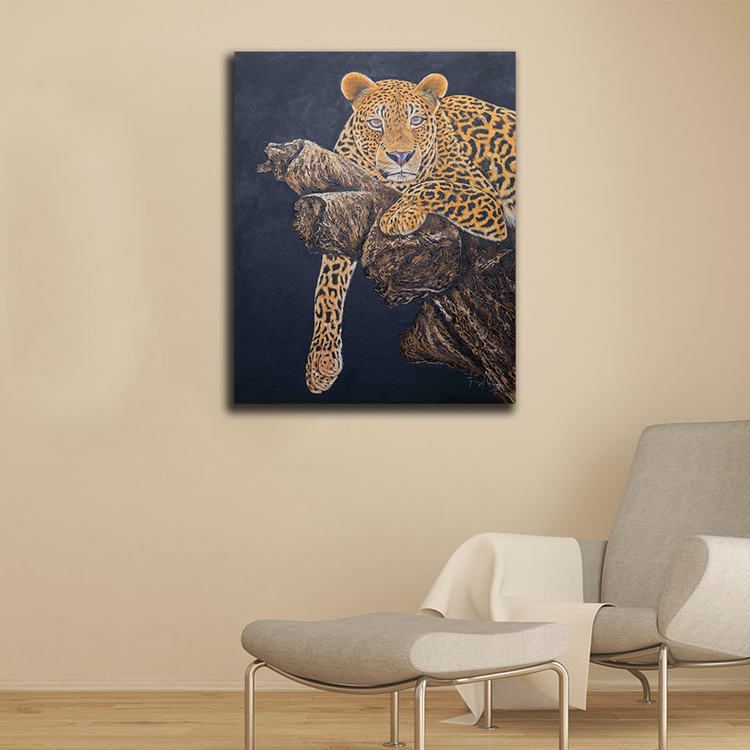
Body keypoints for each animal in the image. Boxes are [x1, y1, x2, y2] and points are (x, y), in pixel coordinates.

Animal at [305, 71, 516, 394]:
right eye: (376, 123)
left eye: (415, 120)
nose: (401, 156)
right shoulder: (339, 209)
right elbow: (327, 286)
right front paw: (321, 361)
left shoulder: (487, 201)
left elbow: (434, 185)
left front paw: (400, 214)